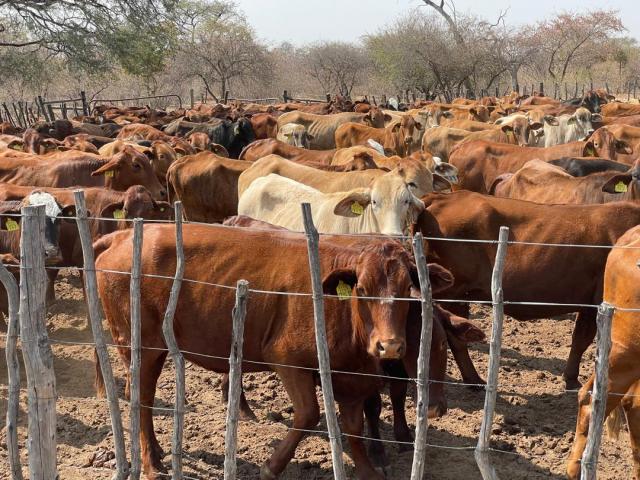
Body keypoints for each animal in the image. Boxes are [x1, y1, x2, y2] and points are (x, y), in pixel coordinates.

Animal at [93, 223, 454, 479]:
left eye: (407, 289)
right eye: (362, 290)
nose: (389, 345)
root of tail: (121, 236)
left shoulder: (352, 378)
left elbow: (353, 426)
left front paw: (368, 471)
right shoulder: (288, 361)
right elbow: (308, 414)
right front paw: (271, 466)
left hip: (155, 349)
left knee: (144, 397)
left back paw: (155, 454)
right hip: (140, 344)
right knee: (140, 397)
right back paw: (151, 465)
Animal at [415, 190, 640, 389]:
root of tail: (444, 197)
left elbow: (579, 339)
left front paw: (570, 378)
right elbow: (584, 340)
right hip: (454, 293)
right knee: (455, 338)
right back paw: (474, 380)